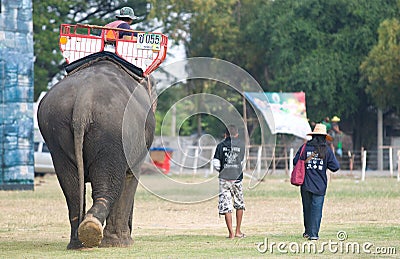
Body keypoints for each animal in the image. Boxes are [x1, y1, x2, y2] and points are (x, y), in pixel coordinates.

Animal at [37, 54, 155, 250]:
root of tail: (83, 102)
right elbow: (130, 178)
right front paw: (123, 244)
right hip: (112, 133)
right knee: (108, 185)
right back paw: (95, 232)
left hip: (55, 132)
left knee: (72, 188)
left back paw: (79, 241)